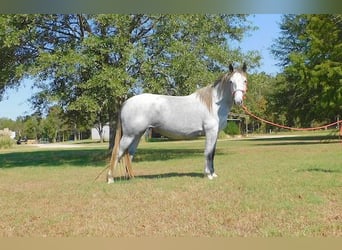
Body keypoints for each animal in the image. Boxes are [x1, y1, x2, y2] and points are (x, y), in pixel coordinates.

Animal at [108, 63, 247, 183]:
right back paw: (110, 179)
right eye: (231, 81)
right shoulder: (210, 132)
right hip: (129, 135)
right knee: (118, 152)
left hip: (137, 135)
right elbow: (208, 152)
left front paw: (213, 173)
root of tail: (126, 102)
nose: (239, 101)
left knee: (129, 154)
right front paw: (208, 175)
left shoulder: (216, 133)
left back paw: (130, 178)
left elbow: (212, 153)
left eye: (245, 80)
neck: (213, 104)